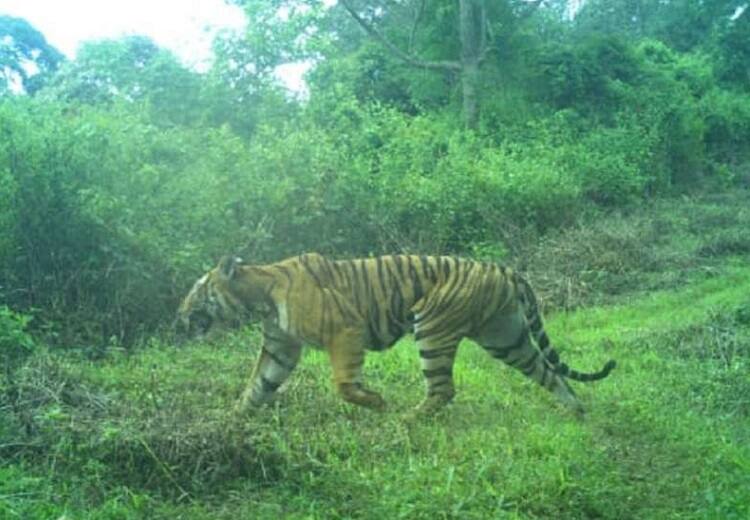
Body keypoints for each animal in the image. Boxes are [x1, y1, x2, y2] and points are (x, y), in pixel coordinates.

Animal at [176, 253, 616, 416]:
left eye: (196, 289)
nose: (178, 315)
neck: (259, 299)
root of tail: (503, 268)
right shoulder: (280, 347)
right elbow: (258, 385)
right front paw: (233, 421)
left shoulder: (346, 331)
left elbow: (343, 383)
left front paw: (376, 402)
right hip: (505, 337)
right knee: (550, 373)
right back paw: (577, 412)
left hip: (433, 328)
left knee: (443, 390)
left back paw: (406, 419)